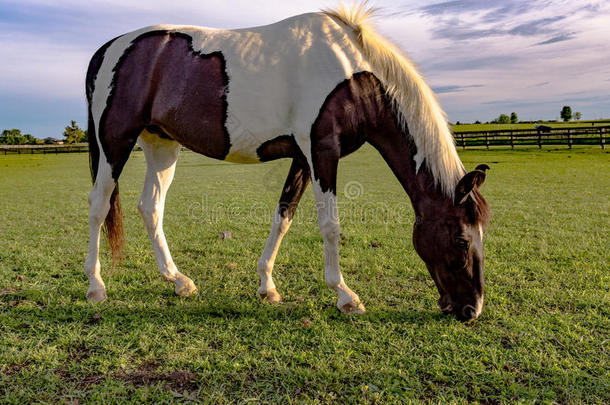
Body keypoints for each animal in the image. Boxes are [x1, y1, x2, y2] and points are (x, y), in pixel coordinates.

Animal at [83, 3, 490, 318]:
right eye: (461, 240)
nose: (471, 310)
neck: (352, 75)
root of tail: (109, 48)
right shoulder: (322, 151)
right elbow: (330, 225)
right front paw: (345, 296)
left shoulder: (302, 158)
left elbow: (284, 217)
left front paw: (267, 285)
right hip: (115, 141)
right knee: (99, 206)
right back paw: (96, 286)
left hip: (161, 144)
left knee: (150, 207)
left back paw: (178, 280)